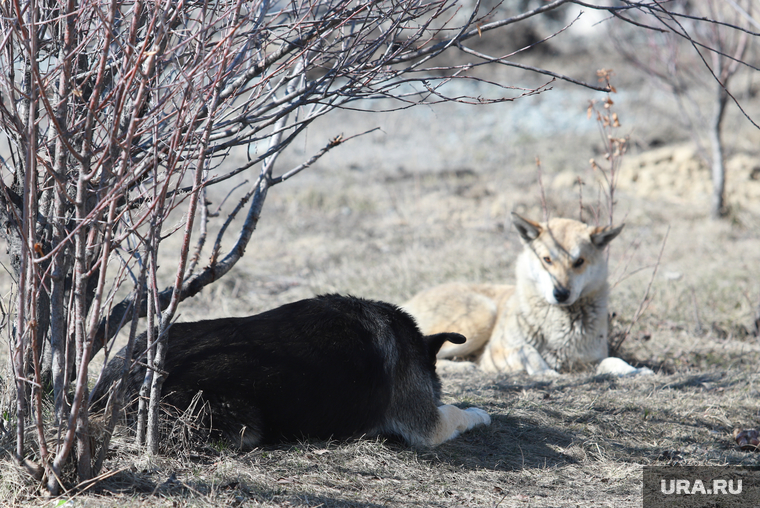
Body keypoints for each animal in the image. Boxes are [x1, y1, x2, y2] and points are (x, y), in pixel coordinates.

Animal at [400, 212, 652, 376]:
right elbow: (528, 351)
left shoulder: (590, 360)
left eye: (579, 262)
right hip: (481, 318)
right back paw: (465, 367)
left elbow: (613, 360)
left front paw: (636, 371)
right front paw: (547, 374)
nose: (561, 293)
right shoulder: (495, 354)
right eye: (547, 259)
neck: (558, 323)